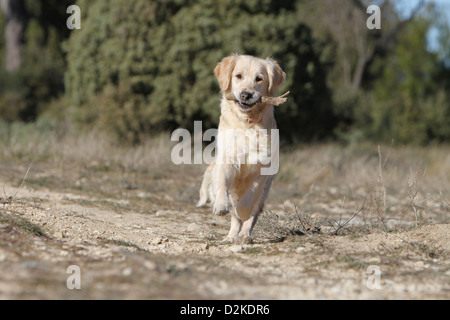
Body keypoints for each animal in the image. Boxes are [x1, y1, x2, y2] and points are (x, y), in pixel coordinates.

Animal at [196, 53, 284, 242]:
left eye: (259, 79)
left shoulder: (261, 170)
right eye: (238, 76)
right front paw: (220, 206)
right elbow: (222, 183)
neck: (247, 123)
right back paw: (230, 237)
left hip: (265, 192)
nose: (245, 95)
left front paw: (243, 213)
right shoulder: (227, 160)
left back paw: (245, 235)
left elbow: (248, 200)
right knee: (234, 216)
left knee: (252, 213)